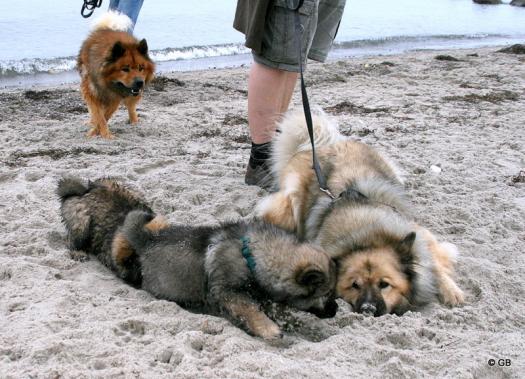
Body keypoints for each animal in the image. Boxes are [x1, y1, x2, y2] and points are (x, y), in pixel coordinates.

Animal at [57, 178, 336, 342]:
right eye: (325, 294)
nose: (335, 311)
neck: (252, 255)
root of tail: (146, 239)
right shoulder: (228, 292)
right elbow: (251, 310)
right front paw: (269, 328)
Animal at [77, 11, 154, 140]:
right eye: (125, 69)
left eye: (141, 68)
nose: (140, 82)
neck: (106, 82)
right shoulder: (91, 93)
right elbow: (99, 115)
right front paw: (100, 133)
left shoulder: (116, 97)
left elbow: (105, 115)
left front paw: (98, 132)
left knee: (131, 107)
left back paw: (134, 122)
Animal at [256, 112, 464, 318]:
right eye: (354, 285)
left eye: (384, 284)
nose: (368, 309)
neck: (367, 234)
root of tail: (324, 145)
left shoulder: (418, 234)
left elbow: (434, 263)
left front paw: (451, 291)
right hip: (291, 204)